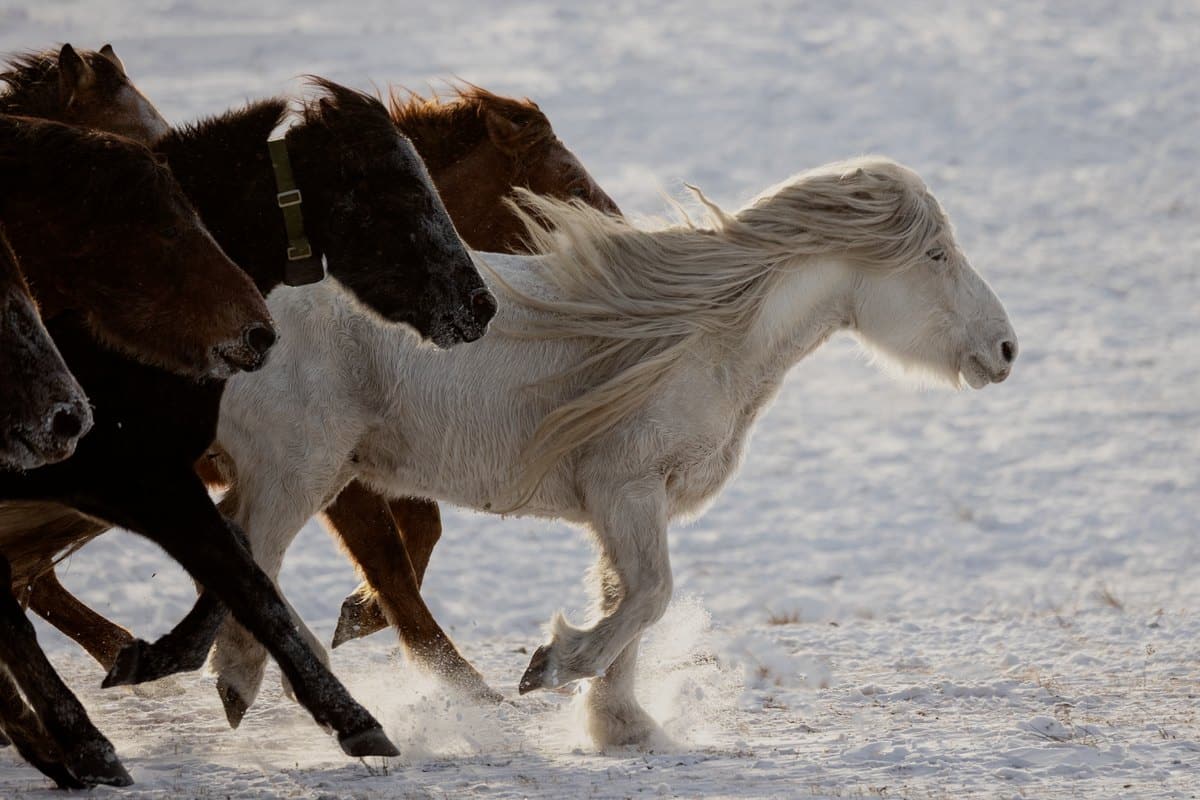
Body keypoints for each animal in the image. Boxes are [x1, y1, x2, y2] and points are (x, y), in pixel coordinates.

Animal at [0, 80, 491, 784]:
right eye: (394, 187)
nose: (481, 305)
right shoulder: (135, 473)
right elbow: (249, 579)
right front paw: (351, 718)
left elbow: (239, 558)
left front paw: (168, 661)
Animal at [205, 156, 1017, 748]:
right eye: (937, 254)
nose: (1006, 349)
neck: (703, 338)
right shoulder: (624, 487)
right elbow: (650, 594)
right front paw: (554, 667)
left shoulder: (625, 501)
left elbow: (625, 597)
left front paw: (621, 726)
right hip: (297, 472)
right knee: (252, 564)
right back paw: (260, 689)